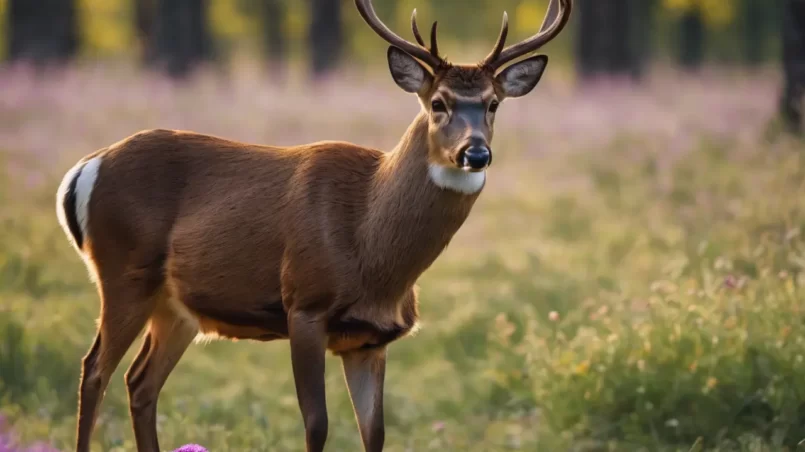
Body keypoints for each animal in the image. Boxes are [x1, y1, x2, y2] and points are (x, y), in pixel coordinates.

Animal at [55, 0, 572, 448]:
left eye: (493, 103)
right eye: (439, 103)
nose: (475, 152)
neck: (371, 252)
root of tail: (85, 167)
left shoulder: (370, 339)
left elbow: (375, 433)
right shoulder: (304, 305)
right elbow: (317, 425)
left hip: (175, 306)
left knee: (140, 382)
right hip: (123, 273)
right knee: (94, 370)